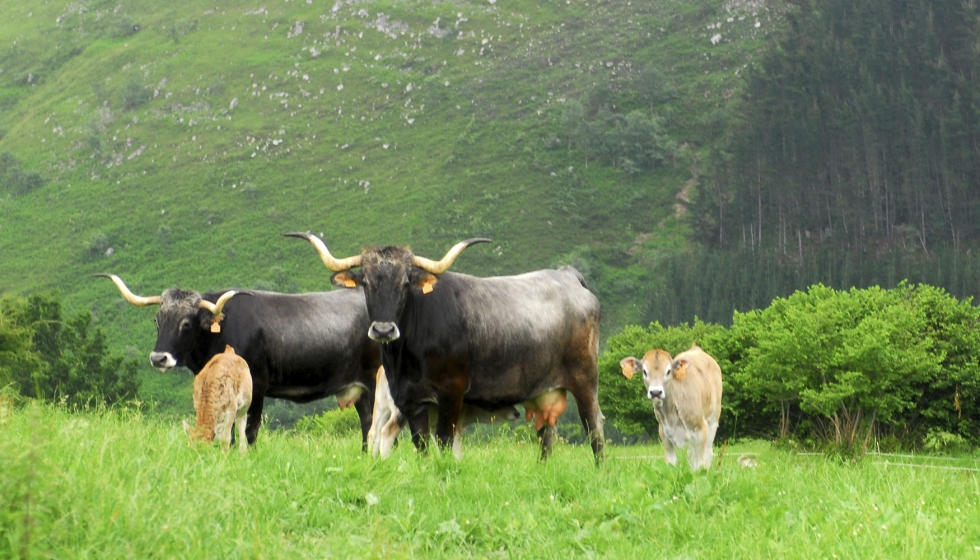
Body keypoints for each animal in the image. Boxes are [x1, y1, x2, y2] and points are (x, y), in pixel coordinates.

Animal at [95, 274, 381, 447]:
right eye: (157, 320)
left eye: (186, 323)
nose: (158, 358)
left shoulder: (257, 386)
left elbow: (248, 431)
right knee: (367, 423)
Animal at [367, 365, 521, 460]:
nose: (517, 413)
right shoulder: (455, 423)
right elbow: (456, 446)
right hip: (400, 414)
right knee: (387, 431)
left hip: (381, 408)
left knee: (373, 432)